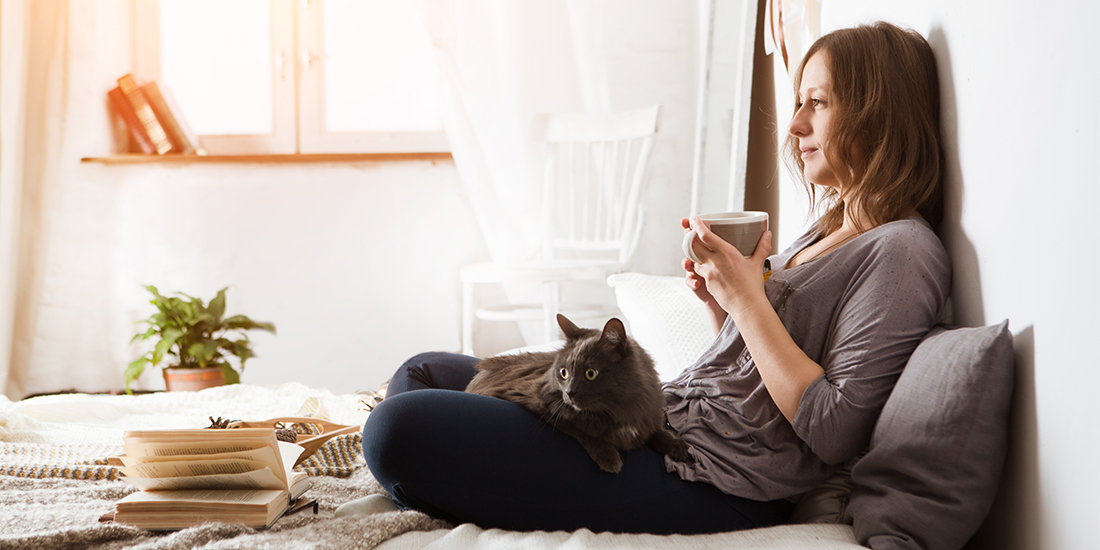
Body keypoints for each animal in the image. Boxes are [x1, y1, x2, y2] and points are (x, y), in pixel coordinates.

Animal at [466, 314, 690, 473]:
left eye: (590, 373)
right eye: (563, 373)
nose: (569, 392)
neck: (618, 409)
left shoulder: (646, 416)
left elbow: (656, 431)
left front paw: (679, 446)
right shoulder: (533, 400)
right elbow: (580, 428)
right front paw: (609, 457)